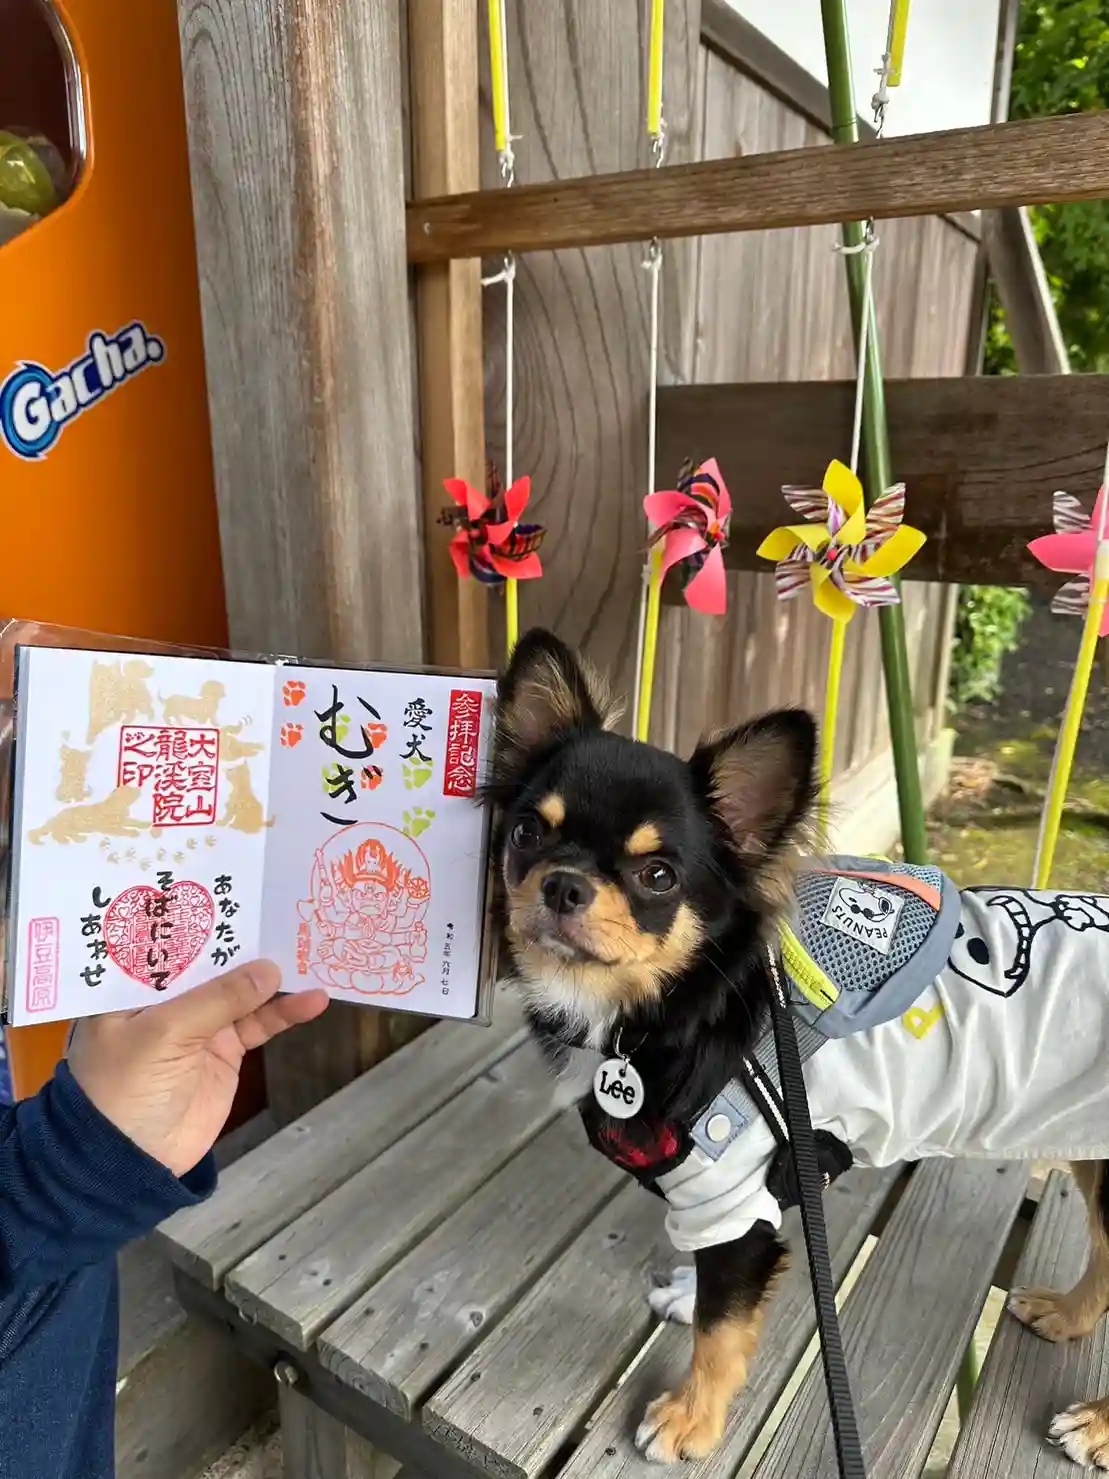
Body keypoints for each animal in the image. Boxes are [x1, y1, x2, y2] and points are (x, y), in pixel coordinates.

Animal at [490, 628, 1109, 1469]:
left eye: (658, 874)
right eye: (527, 832)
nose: (561, 884)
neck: (677, 1005)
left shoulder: (728, 1181)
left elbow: (722, 1329)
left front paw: (690, 1418)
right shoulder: (740, 1196)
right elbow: (721, 1285)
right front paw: (688, 1295)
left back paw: (1098, 1423)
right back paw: (1069, 1316)